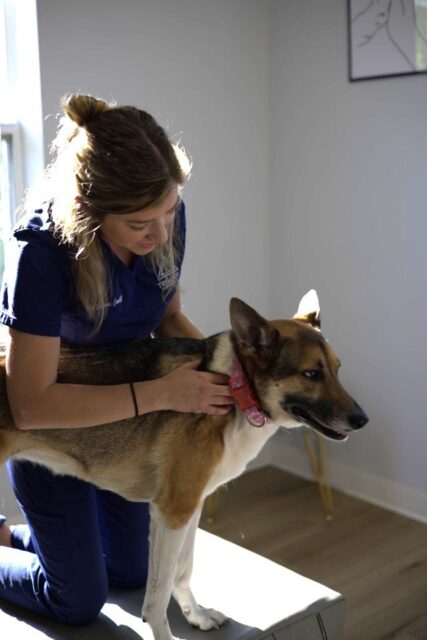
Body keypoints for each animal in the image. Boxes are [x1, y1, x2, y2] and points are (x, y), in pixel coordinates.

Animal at [0, 292, 368, 636]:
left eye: (337, 370)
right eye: (311, 374)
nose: (362, 420)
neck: (236, 390)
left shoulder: (190, 505)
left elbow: (183, 570)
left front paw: (197, 616)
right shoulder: (173, 510)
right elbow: (157, 597)